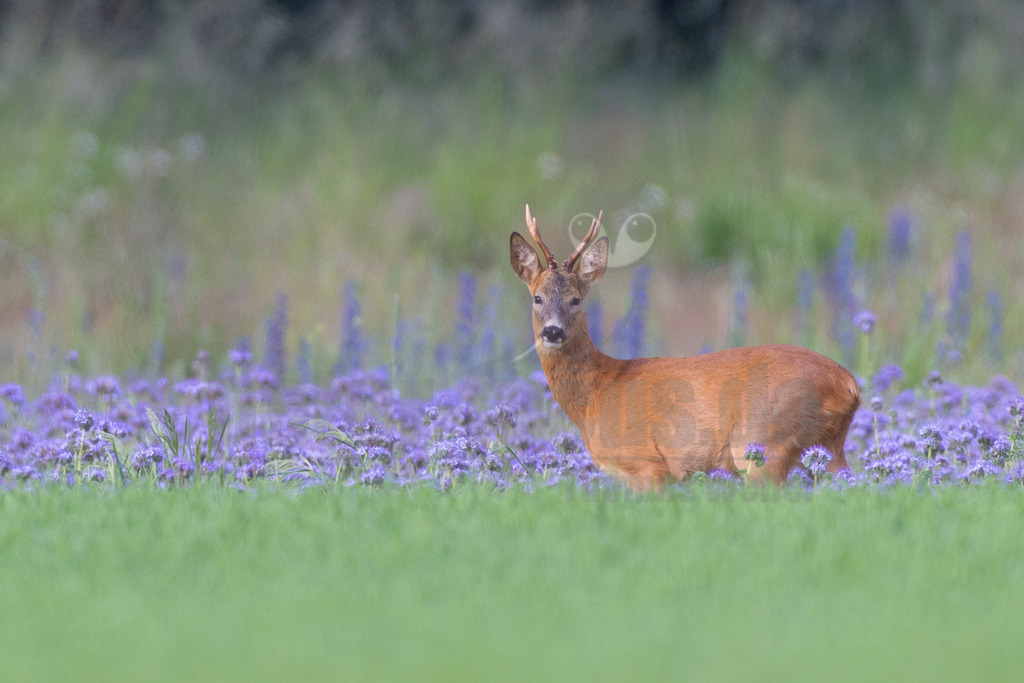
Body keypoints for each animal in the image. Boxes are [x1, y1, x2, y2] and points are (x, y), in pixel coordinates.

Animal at [510, 205, 861, 490]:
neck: (596, 394)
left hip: (763, 442)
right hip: (829, 445)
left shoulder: (648, 465)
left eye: (575, 300)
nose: (553, 331)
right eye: (537, 298)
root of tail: (848, 384)